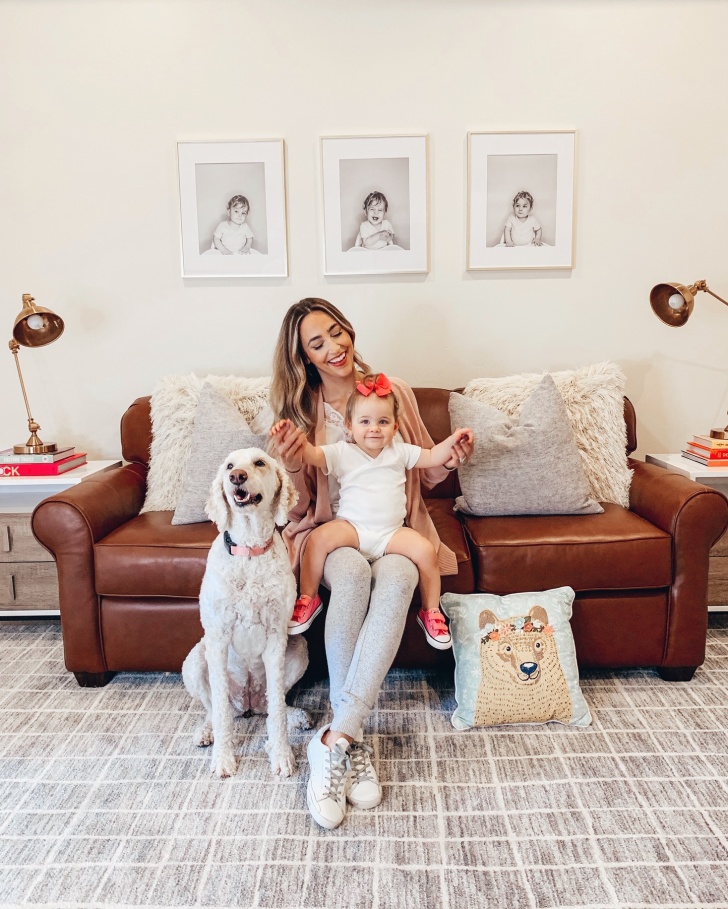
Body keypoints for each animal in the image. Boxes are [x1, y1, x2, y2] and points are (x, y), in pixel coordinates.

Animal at [182, 450, 310, 776]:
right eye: (229, 465)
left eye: (259, 463)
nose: (236, 476)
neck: (250, 551)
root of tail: (248, 704)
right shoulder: (218, 638)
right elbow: (221, 713)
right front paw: (223, 759)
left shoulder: (277, 637)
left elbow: (276, 708)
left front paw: (281, 754)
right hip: (195, 660)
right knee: (215, 708)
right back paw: (207, 731)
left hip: (299, 648)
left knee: (272, 705)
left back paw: (294, 716)